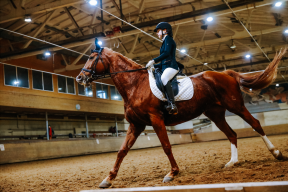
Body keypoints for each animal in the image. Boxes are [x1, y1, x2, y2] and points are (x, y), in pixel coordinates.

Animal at [76, 46, 286, 188]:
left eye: (92, 57)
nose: (79, 78)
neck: (135, 85)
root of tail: (225, 73)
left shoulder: (156, 120)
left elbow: (166, 147)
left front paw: (172, 173)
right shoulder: (136, 125)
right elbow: (121, 151)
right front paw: (108, 179)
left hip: (236, 106)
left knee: (255, 124)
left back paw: (277, 153)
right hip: (215, 113)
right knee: (232, 134)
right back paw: (232, 162)